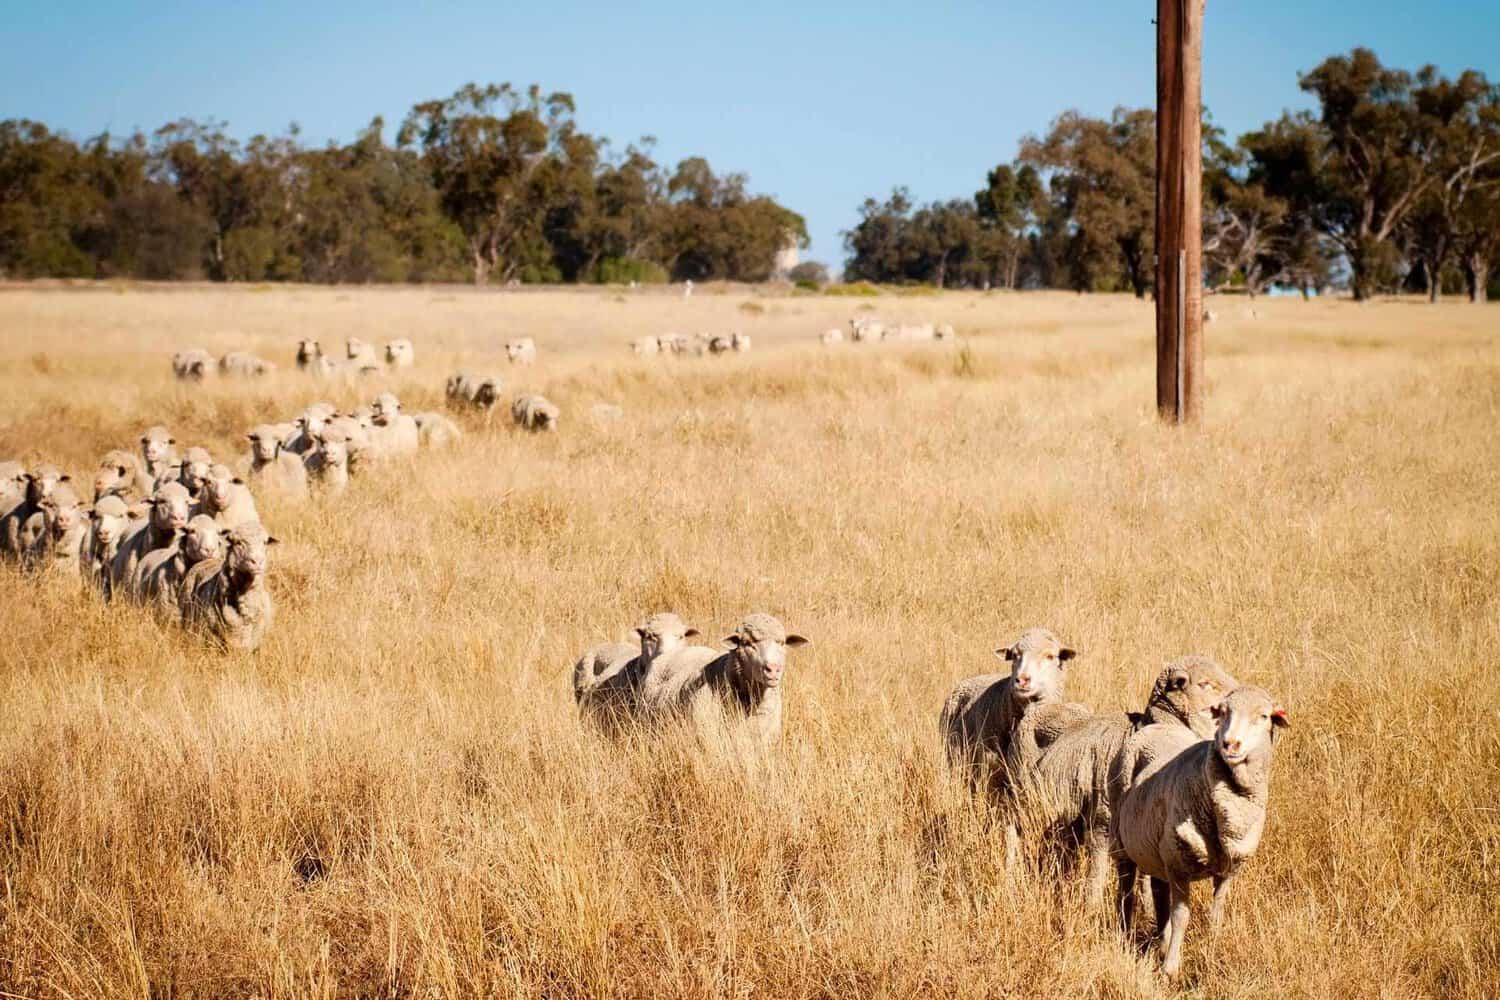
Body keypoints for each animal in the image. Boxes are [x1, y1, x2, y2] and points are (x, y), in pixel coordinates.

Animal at [181, 521, 279, 653]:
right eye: (238, 543)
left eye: (264, 542)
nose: (257, 561)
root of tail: (207, 560)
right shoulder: (214, 641)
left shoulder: (256, 644)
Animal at [1116, 689, 1290, 977]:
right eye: (1222, 712)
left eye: (1264, 716)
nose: (1230, 744)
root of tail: (1157, 726)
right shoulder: (1179, 866)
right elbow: (1181, 917)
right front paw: (1171, 967)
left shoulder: (1229, 869)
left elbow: (1216, 912)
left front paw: (1212, 946)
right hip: (1122, 840)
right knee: (1127, 890)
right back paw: (1126, 931)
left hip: (1158, 849)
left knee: (1159, 892)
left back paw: (1161, 942)